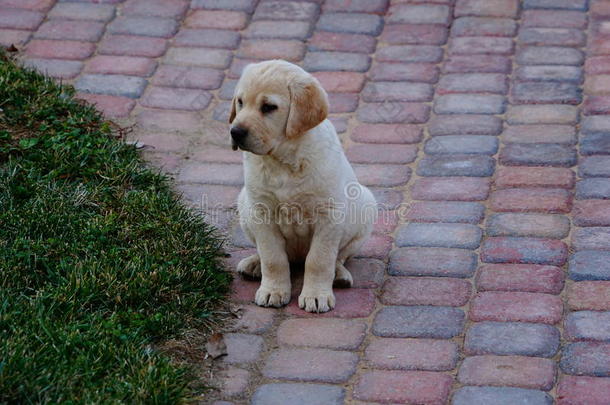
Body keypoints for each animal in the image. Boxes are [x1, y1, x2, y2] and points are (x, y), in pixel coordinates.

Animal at [229, 59, 376, 312]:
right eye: (240, 102)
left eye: (268, 107)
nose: (235, 132)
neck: (283, 161)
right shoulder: (262, 212)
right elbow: (272, 257)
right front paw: (273, 290)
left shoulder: (328, 215)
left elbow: (319, 259)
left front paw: (316, 295)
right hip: (244, 203)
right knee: (271, 254)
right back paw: (254, 264)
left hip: (365, 206)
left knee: (338, 256)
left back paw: (339, 274)